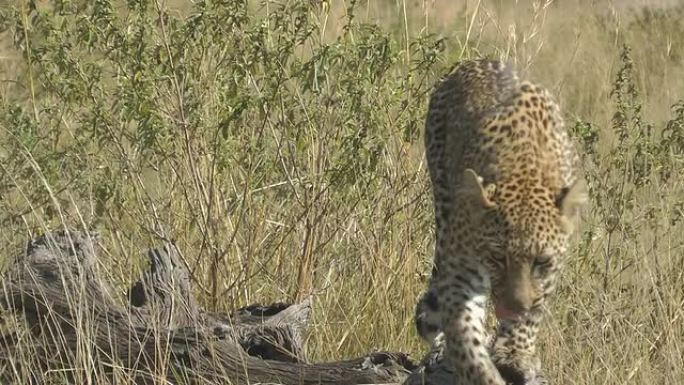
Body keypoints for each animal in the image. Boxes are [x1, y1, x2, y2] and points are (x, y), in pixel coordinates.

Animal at [414, 59, 584, 384]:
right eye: (496, 257)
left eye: (541, 261)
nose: (514, 307)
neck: (525, 171)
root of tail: (475, 61)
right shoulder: (462, 271)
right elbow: (466, 338)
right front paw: (484, 371)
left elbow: (535, 310)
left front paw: (515, 354)